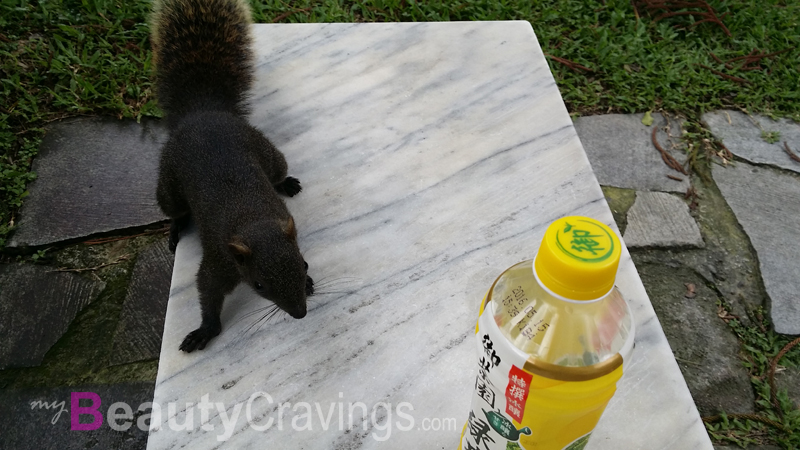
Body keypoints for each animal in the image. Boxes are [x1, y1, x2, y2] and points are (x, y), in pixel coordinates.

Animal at [150, 0, 312, 354]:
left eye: (303, 263)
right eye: (259, 284)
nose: (300, 314)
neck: (253, 220)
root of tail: (203, 111)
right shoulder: (218, 261)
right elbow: (207, 290)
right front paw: (205, 330)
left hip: (269, 153)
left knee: (277, 170)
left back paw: (286, 182)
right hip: (168, 185)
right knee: (174, 208)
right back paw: (176, 226)